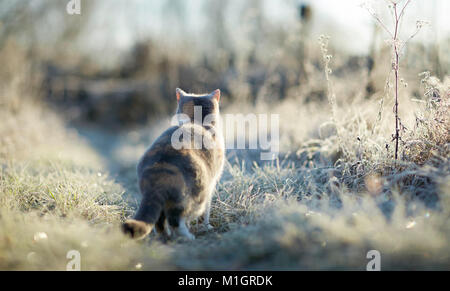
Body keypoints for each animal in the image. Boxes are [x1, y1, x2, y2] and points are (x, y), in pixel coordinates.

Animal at [121, 88, 225, 241]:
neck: (196, 121)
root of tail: (159, 169)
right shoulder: (212, 185)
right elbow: (205, 213)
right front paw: (206, 227)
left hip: (160, 200)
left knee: (159, 222)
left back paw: (164, 237)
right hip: (197, 193)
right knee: (177, 220)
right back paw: (187, 237)